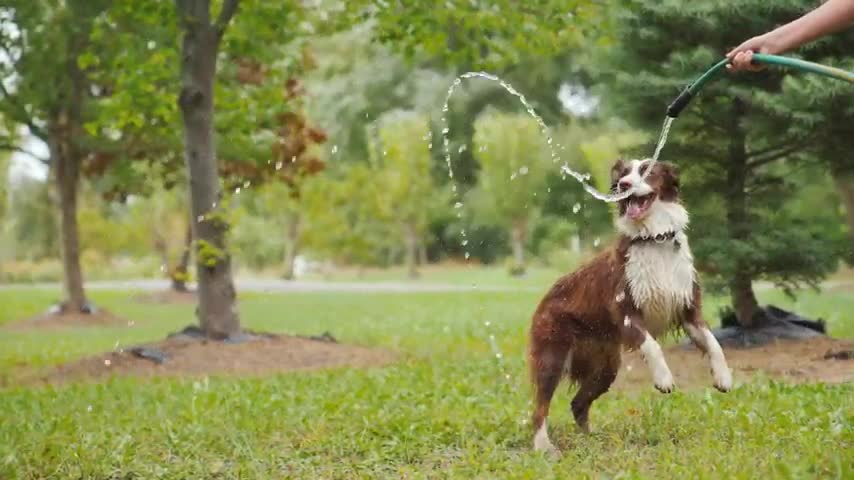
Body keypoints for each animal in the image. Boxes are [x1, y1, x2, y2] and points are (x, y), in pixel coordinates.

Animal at [528, 158, 736, 454]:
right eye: (624, 174)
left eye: (648, 171)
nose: (624, 185)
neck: (655, 238)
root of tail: (546, 296)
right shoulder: (627, 312)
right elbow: (652, 345)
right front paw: (664, 379)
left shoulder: (689, 311)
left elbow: (714, 344)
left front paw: (723, 377)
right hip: (551, 355)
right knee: (539, 408)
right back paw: (543, 446)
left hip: (606, 367)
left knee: (578, 402)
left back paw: (591, 439)